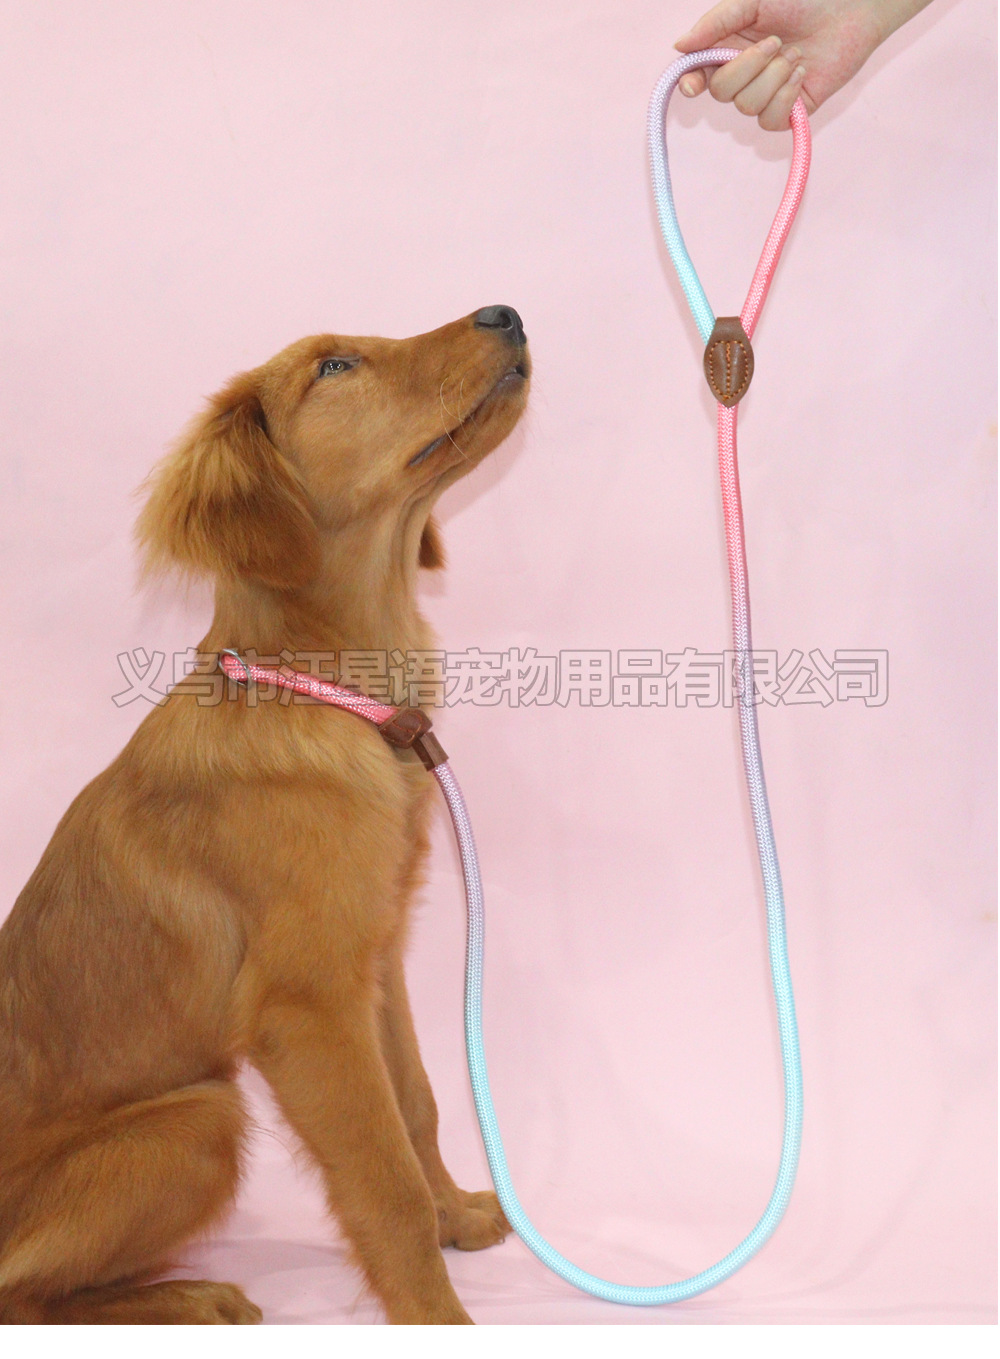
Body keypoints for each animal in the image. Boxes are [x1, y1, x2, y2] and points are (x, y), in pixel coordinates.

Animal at [0, 306, 530, 1324]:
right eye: (335, 367)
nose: (507, 313)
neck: (333, 695)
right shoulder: (308, 1002)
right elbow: (382, 1178)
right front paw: (437, 1316)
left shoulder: (372, 960)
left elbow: (415, 1105)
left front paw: (455, 1214)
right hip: (198, 1117)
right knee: (26, 1292)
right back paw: (192, 1296)